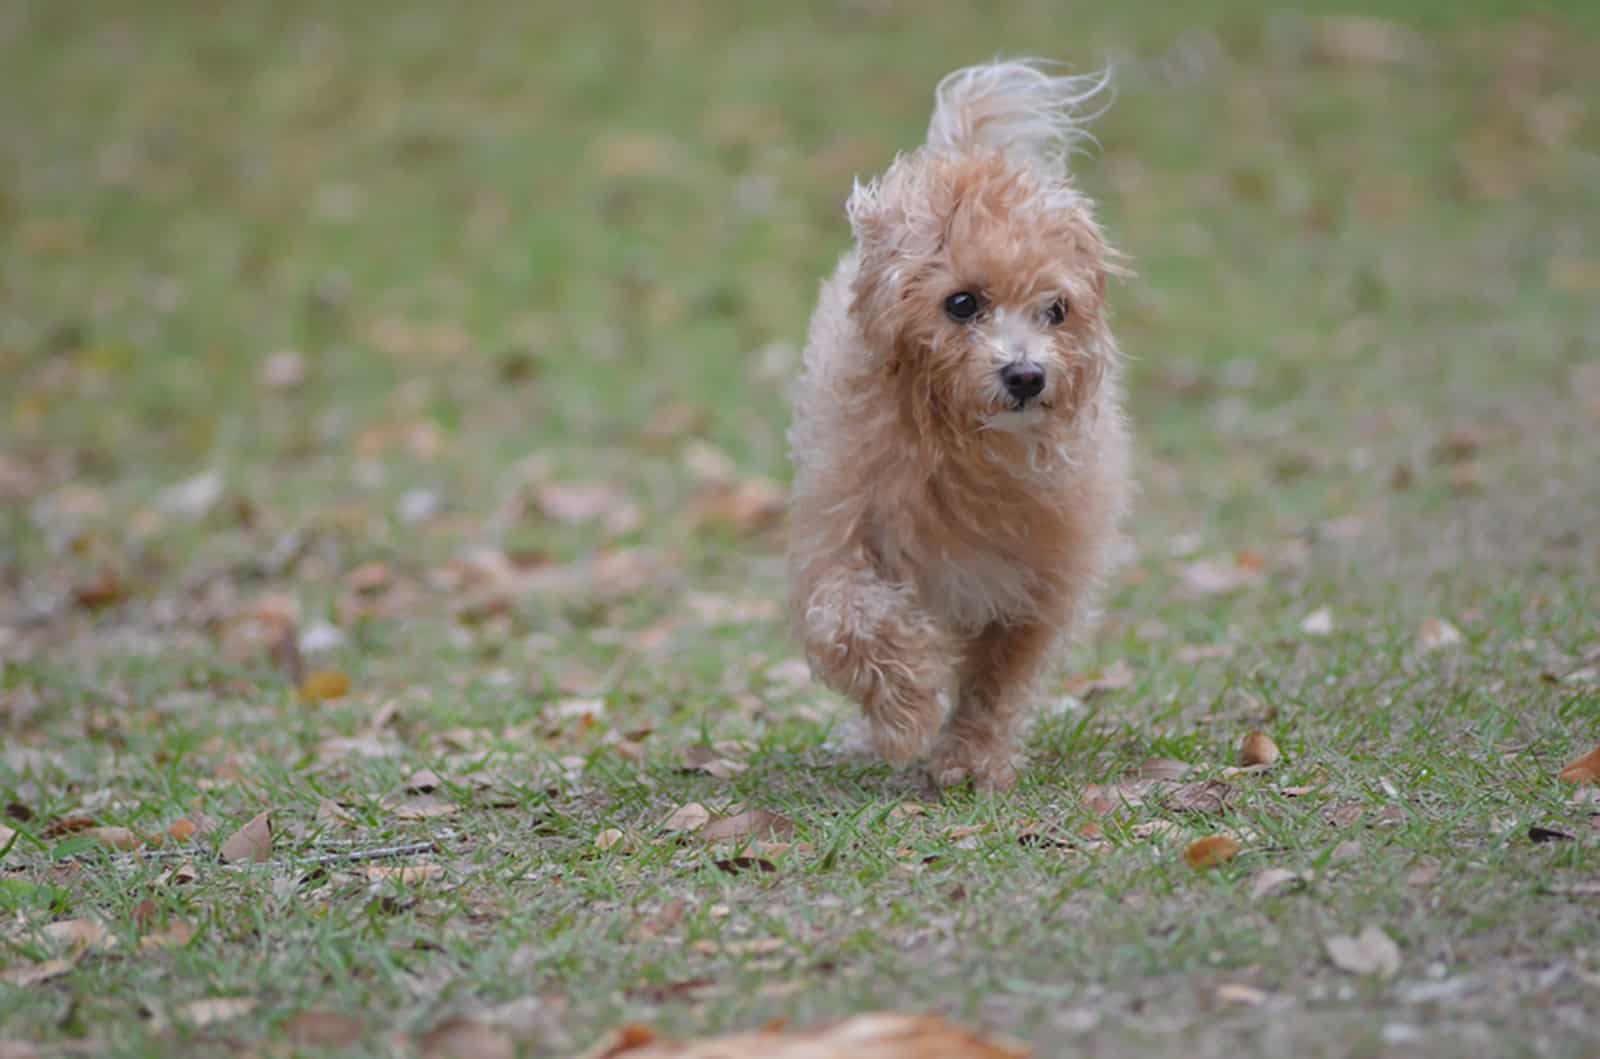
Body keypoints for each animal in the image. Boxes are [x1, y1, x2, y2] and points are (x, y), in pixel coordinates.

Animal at [787, 57, 1126, 787]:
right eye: (962, 303)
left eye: (1056, 310)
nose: (1026, 376)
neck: (960, 446)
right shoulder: (841, 537)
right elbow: (849, 620)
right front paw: (906, 707)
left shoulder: (1035, 583)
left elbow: (997, 681)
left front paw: (971, 758)